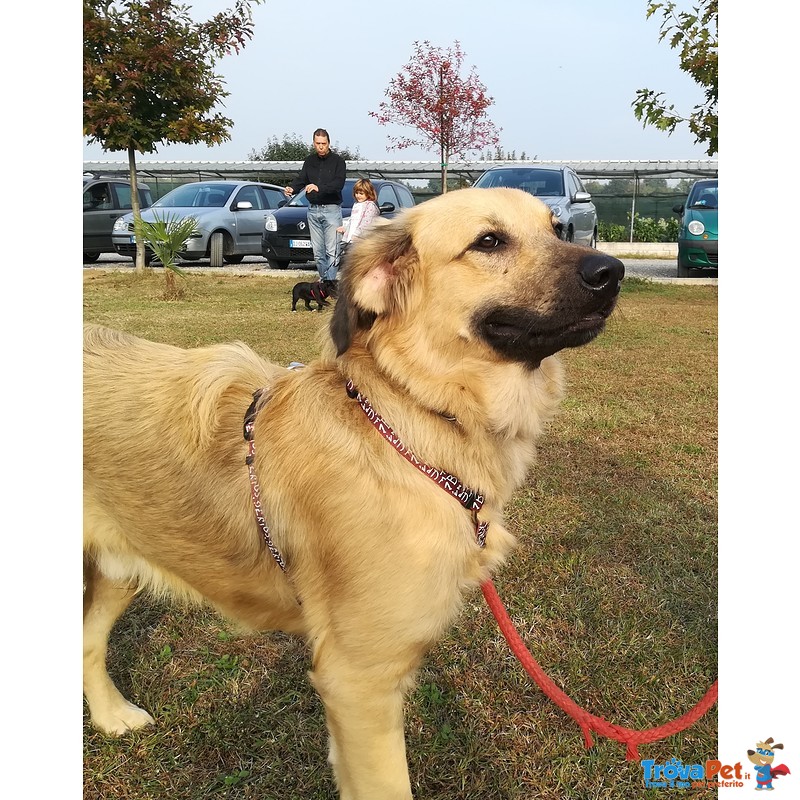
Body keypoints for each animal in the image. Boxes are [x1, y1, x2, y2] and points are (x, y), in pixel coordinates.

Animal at [87, 186, 624, 792]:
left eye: (557, 228)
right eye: (489, 241)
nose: (613, 271)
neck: (405, 417)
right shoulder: (359, 679)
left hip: (119, 564)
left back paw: (111, 717)